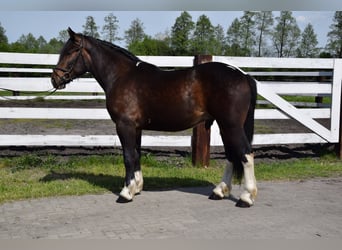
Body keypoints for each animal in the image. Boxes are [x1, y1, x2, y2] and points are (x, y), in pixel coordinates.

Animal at [50, 28, 258, 207]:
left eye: (70, 51)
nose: (55, 79)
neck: (122, 76)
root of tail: (243, 75)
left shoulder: (124, 125)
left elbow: (128, 156)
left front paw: (125, 193)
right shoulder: (136, 128)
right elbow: (136, 155)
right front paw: (136, 188)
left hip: (231, 125)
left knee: (246, 153)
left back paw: (246, 198)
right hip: (224, 126)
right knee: (232, 156)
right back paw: (219, 192)